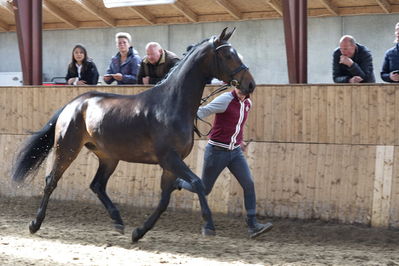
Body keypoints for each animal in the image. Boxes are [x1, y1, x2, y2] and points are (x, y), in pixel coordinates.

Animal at [12, 27, 258, 243]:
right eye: (228, 55)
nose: (250, 85)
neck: (171, 104)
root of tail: (73, 103)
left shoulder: (171, 164)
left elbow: (164, 200)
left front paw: (138, 232)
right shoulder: (170, 159)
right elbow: (197, 183)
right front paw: (208, 225)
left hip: (108, 157)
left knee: (97, 185)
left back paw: (118, 221)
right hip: (67, 148)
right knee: (51, 181)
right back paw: (35, 224)